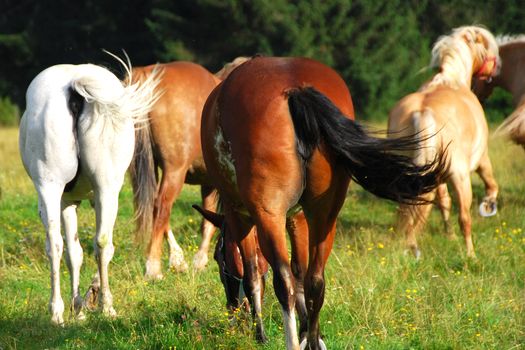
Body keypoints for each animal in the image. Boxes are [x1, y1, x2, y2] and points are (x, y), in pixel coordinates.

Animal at [18, 54, 162, 326]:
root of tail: (74, 85)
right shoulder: (95, 198)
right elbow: (99, 248)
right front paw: (90, 297)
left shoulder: (67, 202)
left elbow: (74, 254)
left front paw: (78, 307)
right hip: (106, 187)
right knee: (103, 243)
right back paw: (107, 307)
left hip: (49, 185)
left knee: (55, 244)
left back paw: (56, 312)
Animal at [128, 58, 248, 280]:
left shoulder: (209, 184)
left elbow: (208, 219)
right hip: (175, 171)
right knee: (162, 206)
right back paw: (154, 267)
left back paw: (175, 259)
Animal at [199, 56, 444, 350]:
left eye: (218, 259)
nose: (232, 311)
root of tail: (295, 89)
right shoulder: (297, 217)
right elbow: (300, 272)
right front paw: (307, 330)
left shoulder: (240, 215)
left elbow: (252, 276)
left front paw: (261, 334)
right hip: (325, 215)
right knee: (315, 280)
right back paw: (312, 340)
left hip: (269, 214)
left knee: (284, 281)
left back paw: (292, 341)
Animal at [388, 26, 500, 258]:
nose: (495, 69)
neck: (451, 80)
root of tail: (422, 113)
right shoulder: (481, 159)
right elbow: (490, 183)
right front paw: (489, 205)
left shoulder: (437, 177)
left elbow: (444, 203)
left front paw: (449, 236)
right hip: (460, 177)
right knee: (464, 218)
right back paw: (471, 255)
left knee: (410, 210)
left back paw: (411, 246)